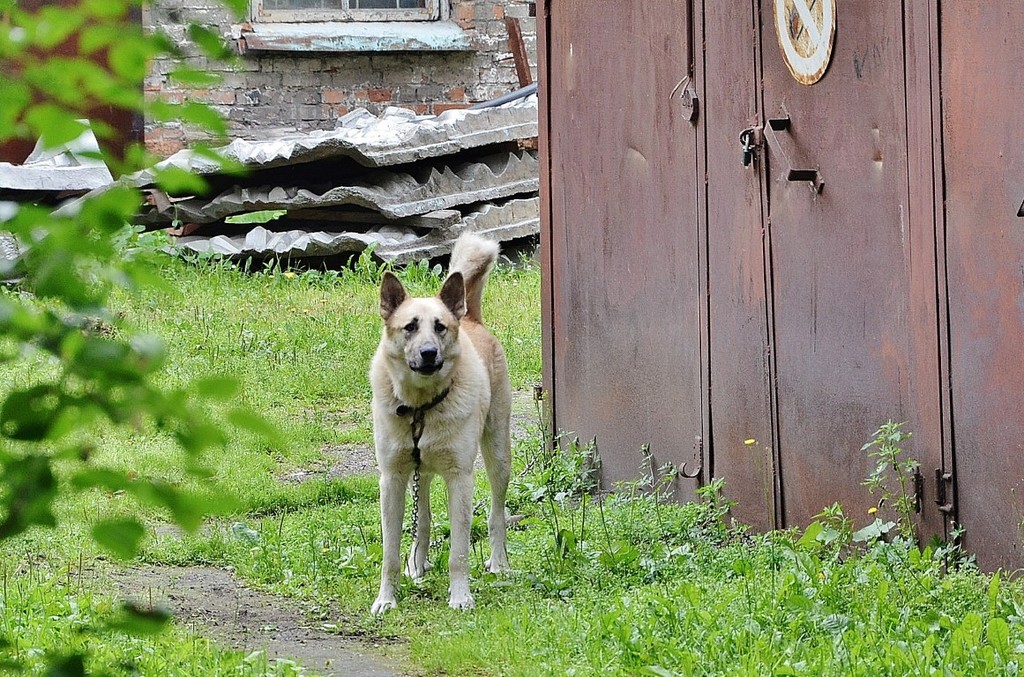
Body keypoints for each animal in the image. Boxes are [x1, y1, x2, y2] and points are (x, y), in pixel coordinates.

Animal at [368, 232, 512, 614]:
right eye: (410, 327)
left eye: (440, 327)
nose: (429, 353)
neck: (420, 406)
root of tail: (472, 318)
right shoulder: (392, 479)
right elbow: (389, 552)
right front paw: (386, 598)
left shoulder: (460, 478)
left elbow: (459, 552)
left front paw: (460, 596)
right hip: (421, 470)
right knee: (424, 519)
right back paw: (417, 564)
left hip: (498, 454)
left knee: (496, 514)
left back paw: (500, 563)